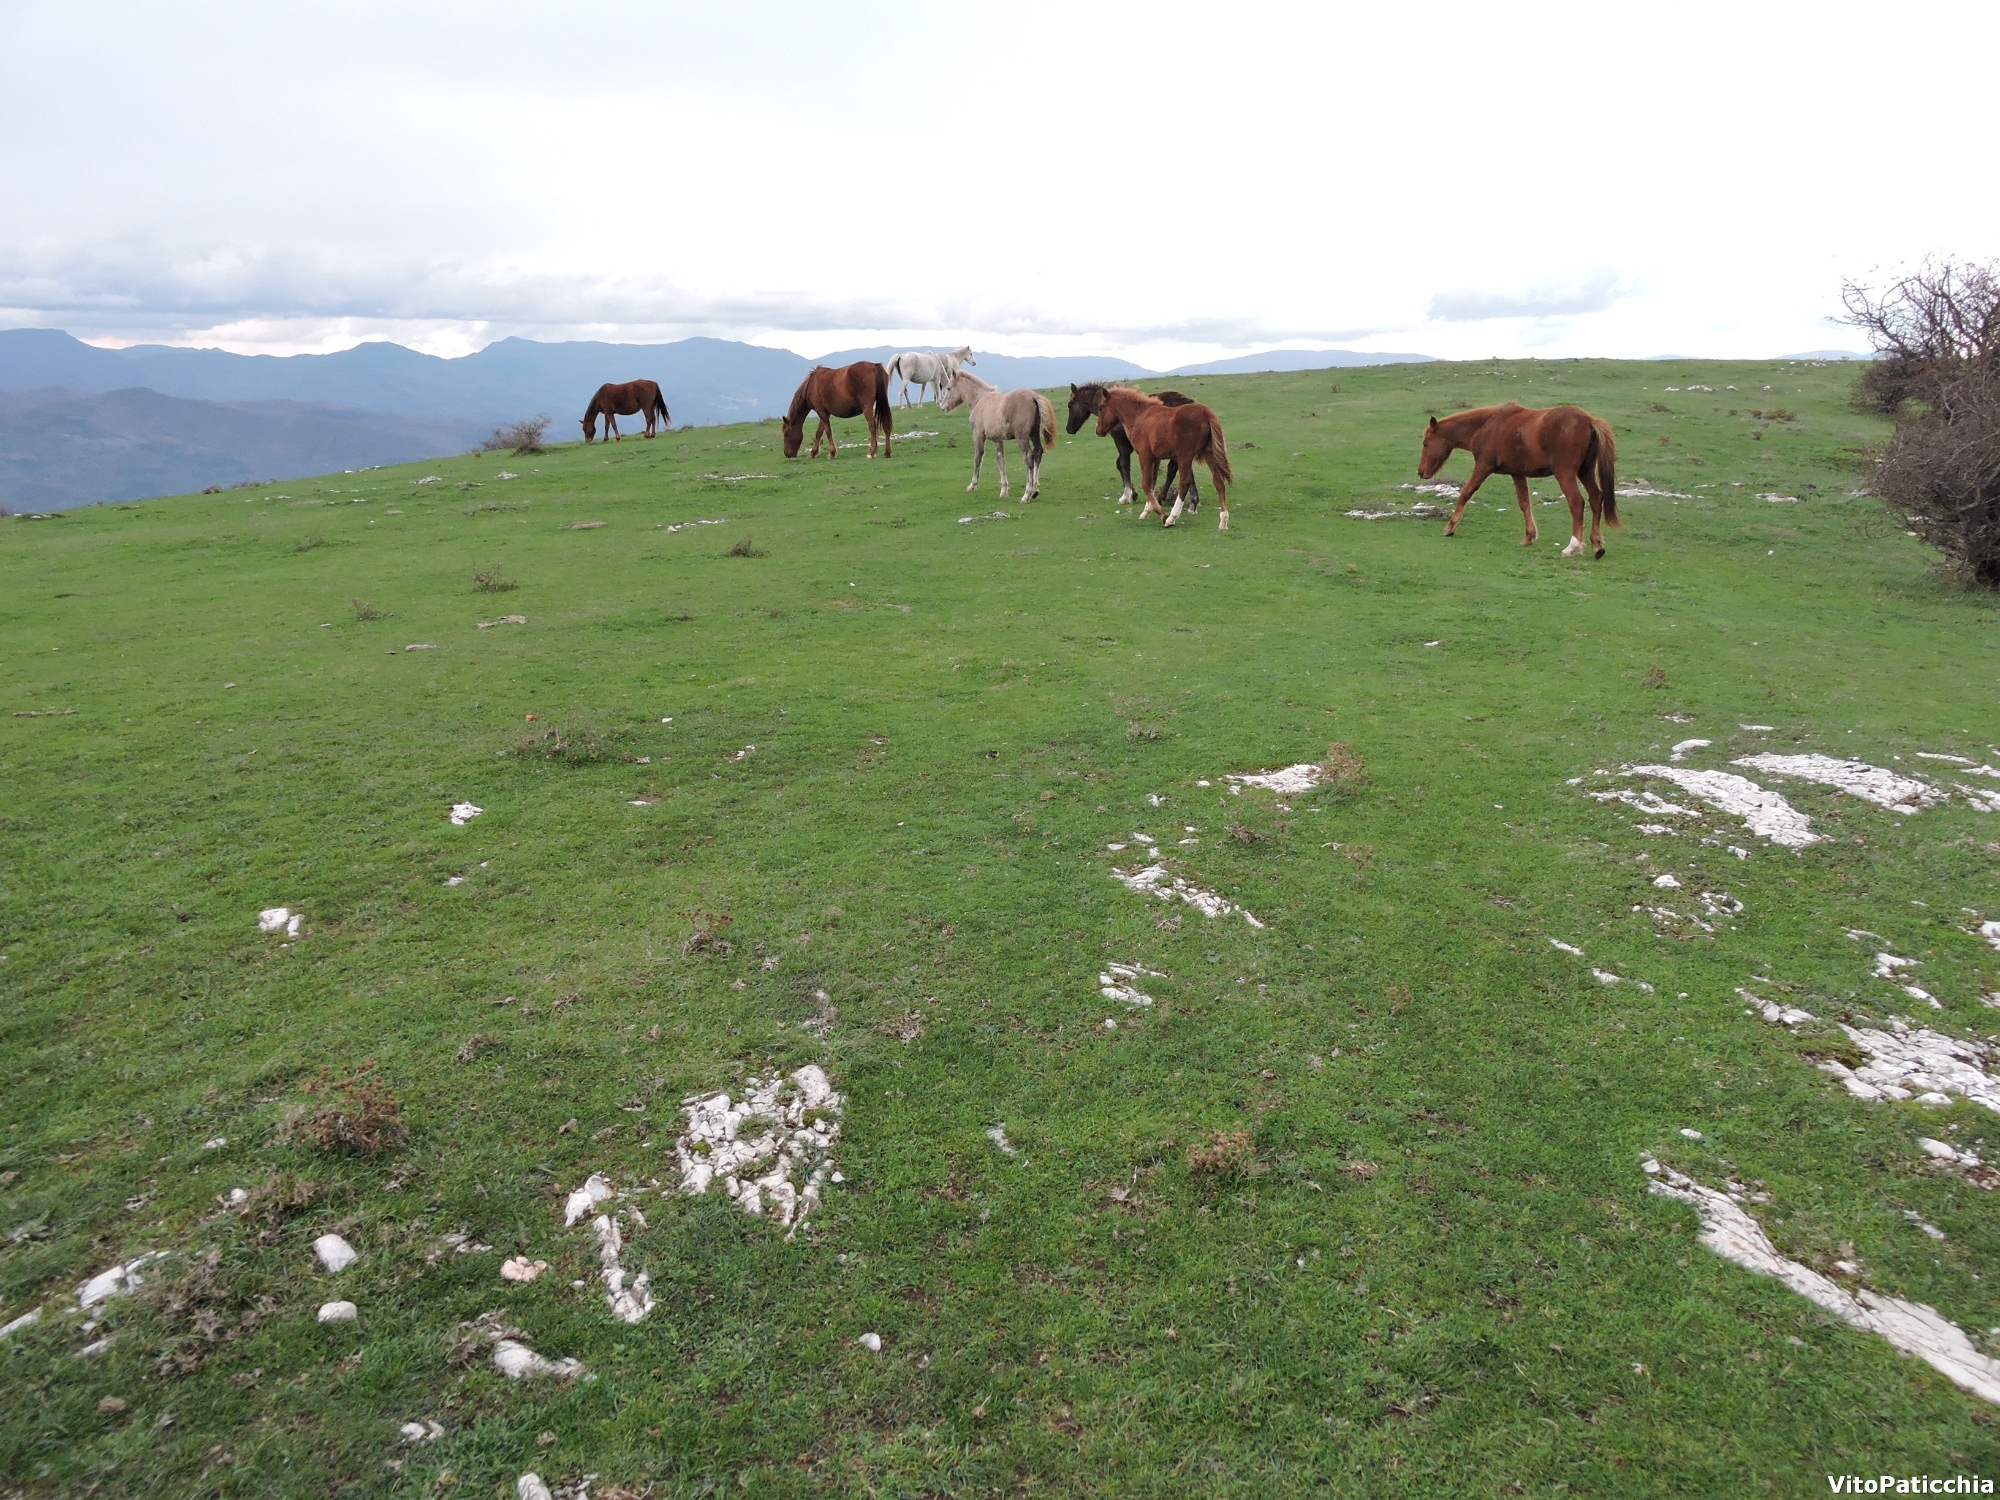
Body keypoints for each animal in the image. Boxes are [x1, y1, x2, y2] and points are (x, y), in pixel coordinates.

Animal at [940, 370, 1064, 506]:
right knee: (1038, 452)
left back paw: (1027, 494)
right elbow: (1001, 461)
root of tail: (1033, 396)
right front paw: (1004, 490)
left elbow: (978, 458)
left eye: (948, 388)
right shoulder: (998, 439)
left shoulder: (978, 435)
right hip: (1034, 434)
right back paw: (1035, 490)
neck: (979, 400)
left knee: (1029, 457)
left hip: (1022, 437)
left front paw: (972, 485)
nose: (942, 406)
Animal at [1064, 384, 1200, 516]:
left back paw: (1163, 498)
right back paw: (1192, 503)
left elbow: (1123, 465)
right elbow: (1120, 464)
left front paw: (1127, 495)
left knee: (1174, 469)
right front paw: (1133, 493)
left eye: (1070, 405)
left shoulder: (1121, 444)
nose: (1069, 429)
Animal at [1096, 388, 1232, 536]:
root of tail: (1205, 413)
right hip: (1208, 454)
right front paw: (1146, 511)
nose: (1098, 431)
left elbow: (1146, 485)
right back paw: (1223, 521)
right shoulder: (1155, 458)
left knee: (1185, 482)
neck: (1140, 415)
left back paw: (1172, 517)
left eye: (1101, 407)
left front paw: (1162, 515)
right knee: (1218, 482)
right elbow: (1152, 484)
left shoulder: (1145, 456)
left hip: (1185, 456)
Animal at [1416, 400, 1616, 560]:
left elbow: (1465, 493)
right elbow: (1524, 503)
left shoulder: (1483, 467)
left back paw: (1572, 547)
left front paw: (1450, 528)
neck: (1486, 426)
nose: (1420, 472)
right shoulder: (1517, 473)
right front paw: (1529, 536)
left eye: (1425, 443)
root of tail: (1589, 420)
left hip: (1565, 474)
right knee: (1596, 498)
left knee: (1576, 503)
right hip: (1585, 471)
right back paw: (1597, 545)